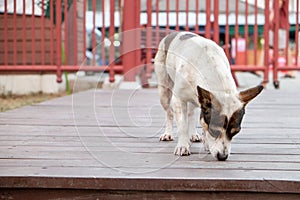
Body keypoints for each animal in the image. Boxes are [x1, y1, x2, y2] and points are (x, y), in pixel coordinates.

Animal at [155, 32, 262, 162]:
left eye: (235, 132)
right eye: (214, 131)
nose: (223, 157)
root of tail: (173, 33)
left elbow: (201, 122)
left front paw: (205, 142)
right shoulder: (179, 100)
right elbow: (183, 125)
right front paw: (183, 146)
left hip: (195, 99)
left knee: (190, 113)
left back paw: (193, 134)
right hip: (164, 91)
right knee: (169, 113)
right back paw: (168, 133)